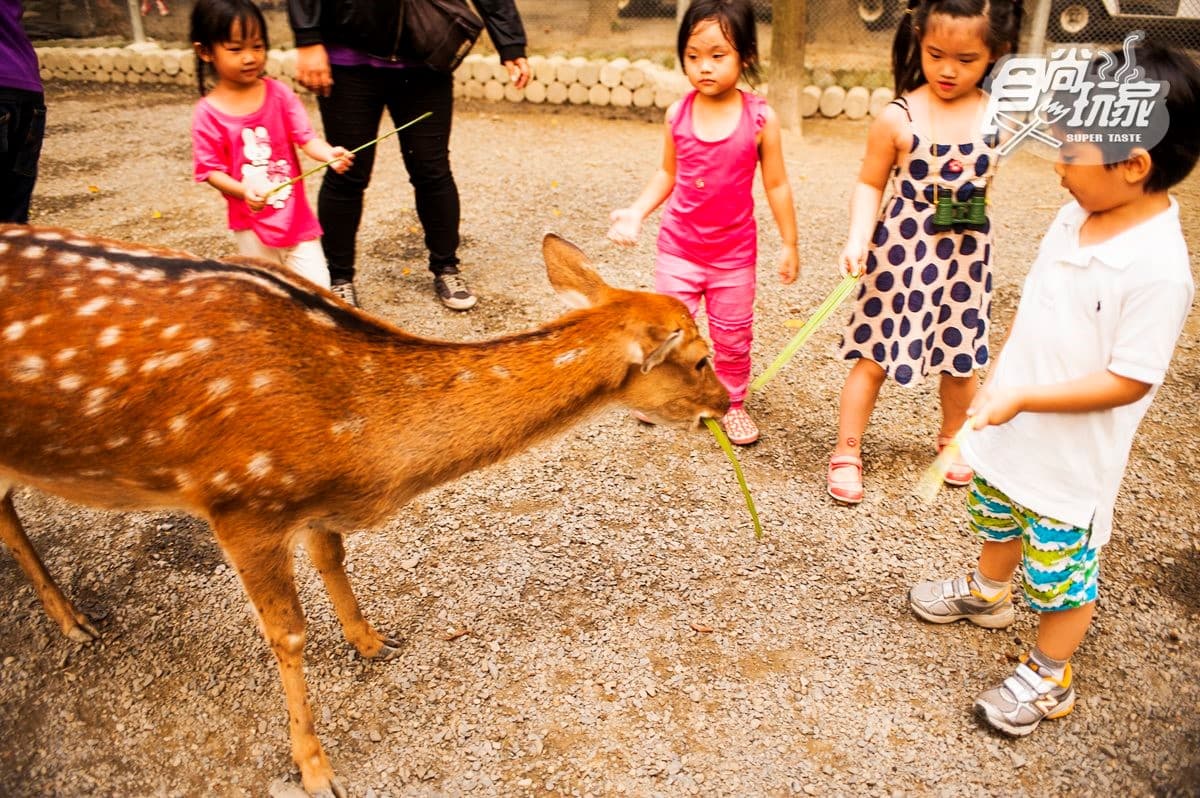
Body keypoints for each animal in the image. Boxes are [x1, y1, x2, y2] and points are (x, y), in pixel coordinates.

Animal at [0, 224, 730, 797]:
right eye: (698, 358)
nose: (725, 402)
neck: (357, 445)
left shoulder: (314, 505)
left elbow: (333, 555)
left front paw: (374, 642)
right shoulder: (240, 500)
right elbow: (288, 635)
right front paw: (316, 769)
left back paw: (74, 618)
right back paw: (75, 624)